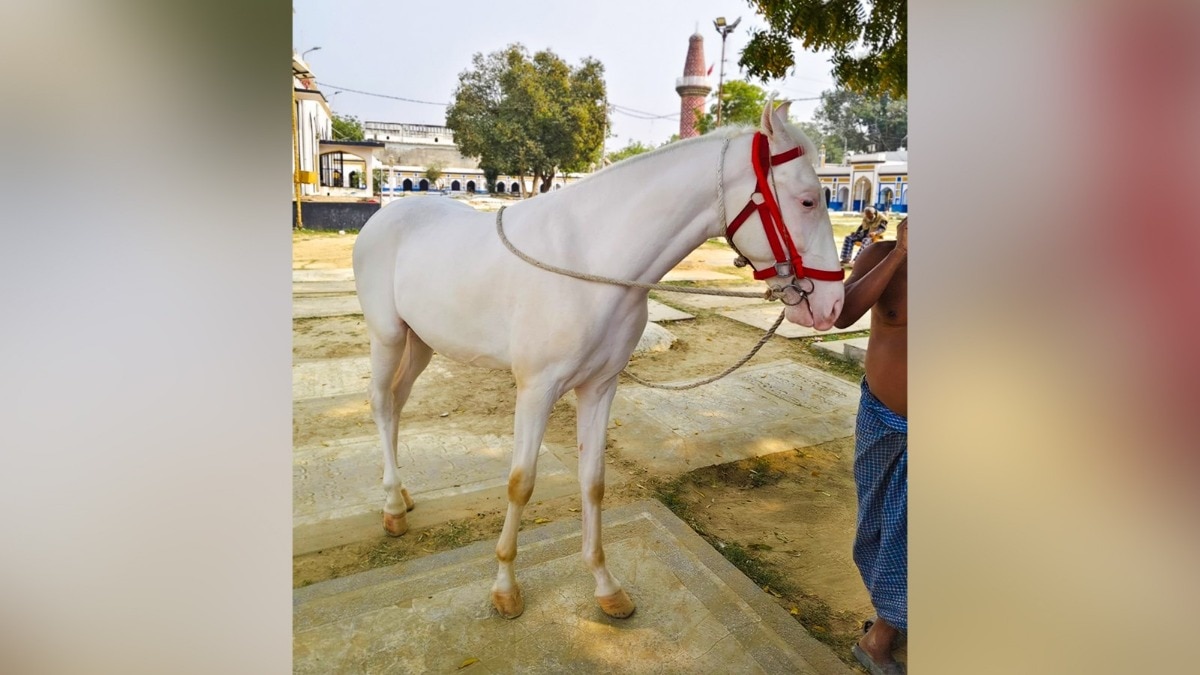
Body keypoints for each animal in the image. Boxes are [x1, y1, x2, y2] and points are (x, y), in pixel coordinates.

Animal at [351, 100, 844, 620]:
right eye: (807, 201)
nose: (832, 305)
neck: (593, 261)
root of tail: (385, 216)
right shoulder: (536, 390)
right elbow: (521, 483)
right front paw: (505, 587)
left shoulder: (601, 386)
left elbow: (593, 482)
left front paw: (606, 586)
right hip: (387, 336)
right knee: (381, 403)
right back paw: (391, 507)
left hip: (421, 342)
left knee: (398, 402)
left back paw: (401, 494)